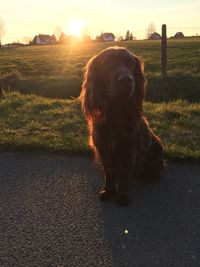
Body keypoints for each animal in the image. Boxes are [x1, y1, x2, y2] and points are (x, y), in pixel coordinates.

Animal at [79, 46, 163, 207]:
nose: (126, 80)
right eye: (108, 63)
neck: (115, 114)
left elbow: (124, 172)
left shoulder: (129, 147)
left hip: (157, 147)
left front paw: (123, 195)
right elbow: (109, 172)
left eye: (131, 64)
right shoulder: (103, 147)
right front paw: (108, 190)